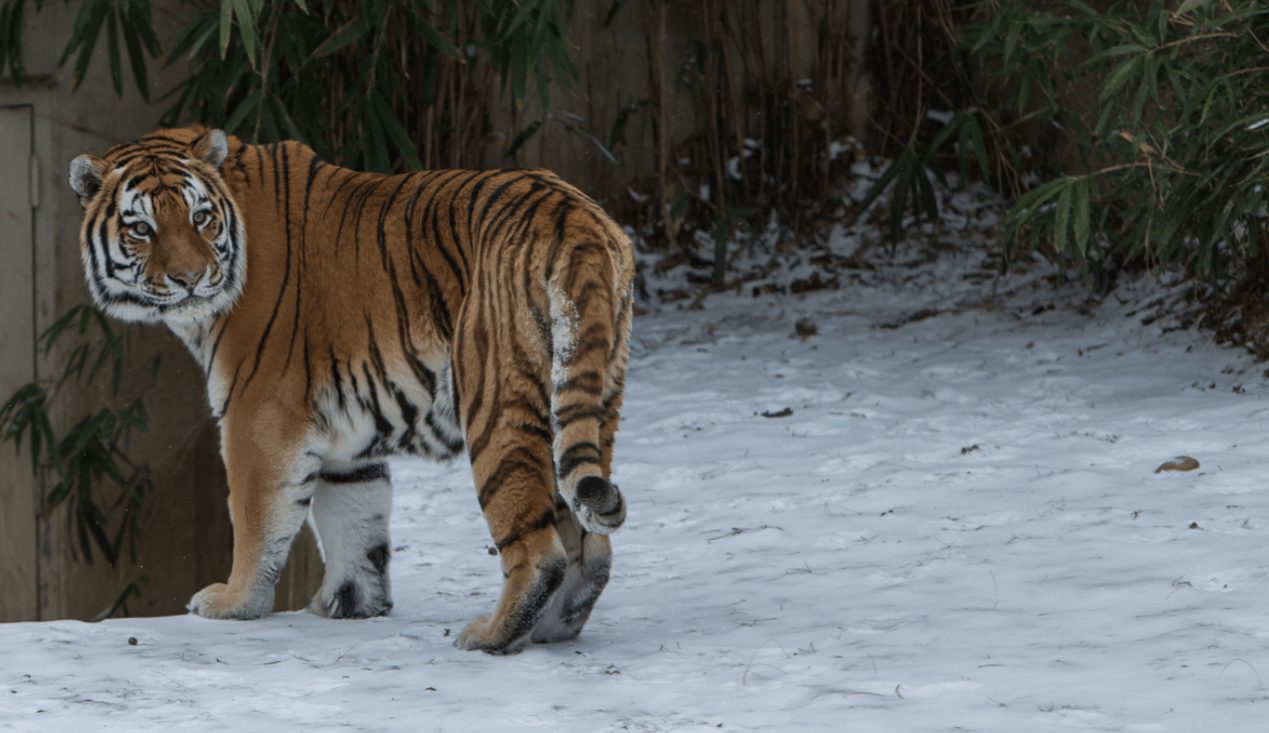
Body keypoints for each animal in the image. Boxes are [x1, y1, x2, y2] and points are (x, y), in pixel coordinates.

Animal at [66, 124, 631, 649]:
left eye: (200, 218)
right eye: (142, 228)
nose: (190, 278)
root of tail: (574, 216)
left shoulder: (258, 416)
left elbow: (255, 519)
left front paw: (234, 602)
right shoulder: (347, 435)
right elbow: (355, 519)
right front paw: (352, 602)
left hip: (494, 403)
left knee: (539, 549)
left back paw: (492, 635)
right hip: (592, 392)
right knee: (592, 543)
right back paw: (554, 627)